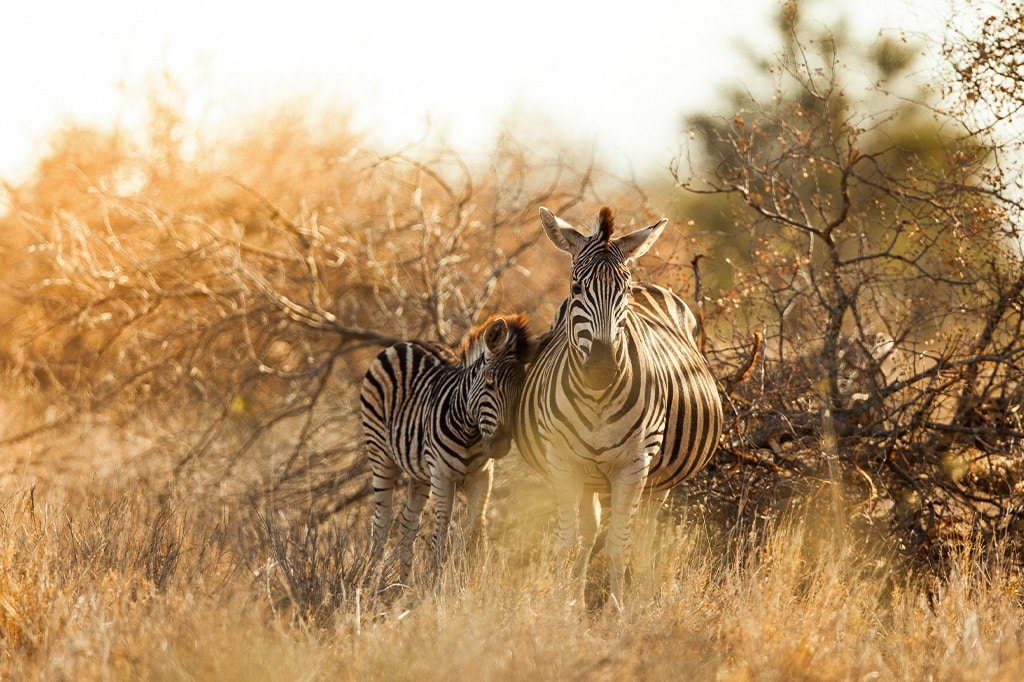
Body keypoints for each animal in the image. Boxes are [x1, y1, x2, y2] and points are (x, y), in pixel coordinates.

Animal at [361, 314, 534, 582]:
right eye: (489, 383)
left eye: (520, 389)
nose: (500, 447)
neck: (469, 431)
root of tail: (406, 343)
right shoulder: (442, 475)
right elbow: (441, 531)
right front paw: (436, 582)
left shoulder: (481, 475)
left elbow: (476, 528)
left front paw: (477, 580)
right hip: (380, 454)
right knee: (382, 520)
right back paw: (372, 579)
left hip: (419, 471)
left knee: (408, 521)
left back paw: (402, 583)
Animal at [513, 206, 723, 601]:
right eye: (576, 288)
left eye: (622, 291)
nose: (602, 368)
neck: (597, 398)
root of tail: (649, 285)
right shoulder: (563, 463)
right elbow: (568, 543)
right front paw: (561, 606)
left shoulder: (634, 465)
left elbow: (618, 547)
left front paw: (618, 608)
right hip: (590, 476)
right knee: (589, 531)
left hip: (658, 481)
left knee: (642, 538)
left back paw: (642, 597)